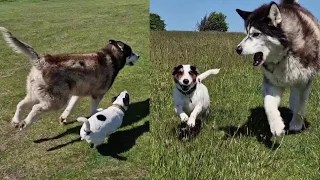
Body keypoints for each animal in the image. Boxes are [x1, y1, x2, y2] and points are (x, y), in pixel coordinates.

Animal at [0, 27, 140, 129]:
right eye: (131, 52)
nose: (139, 56)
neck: (110, 57)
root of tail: (41, 60)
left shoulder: (78, 93)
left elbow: (70, 108)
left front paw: (64, 118)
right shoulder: (97, 94)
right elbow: (93, 109)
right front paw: (96, 113)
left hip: (35, 93)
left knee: (20, 104)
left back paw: (16, 121)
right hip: (57, 100)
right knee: (36, 108)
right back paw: (25, 123)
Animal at [235, 0, 320, 135]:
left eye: (256, 34)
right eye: (246, 33)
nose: (238, 49)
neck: (285, 54)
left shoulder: (304, 80)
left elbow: (301, 104)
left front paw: (296, 124)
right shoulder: (272, 82)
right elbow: (268, 103)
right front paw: (276, 126)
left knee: (296, 96)